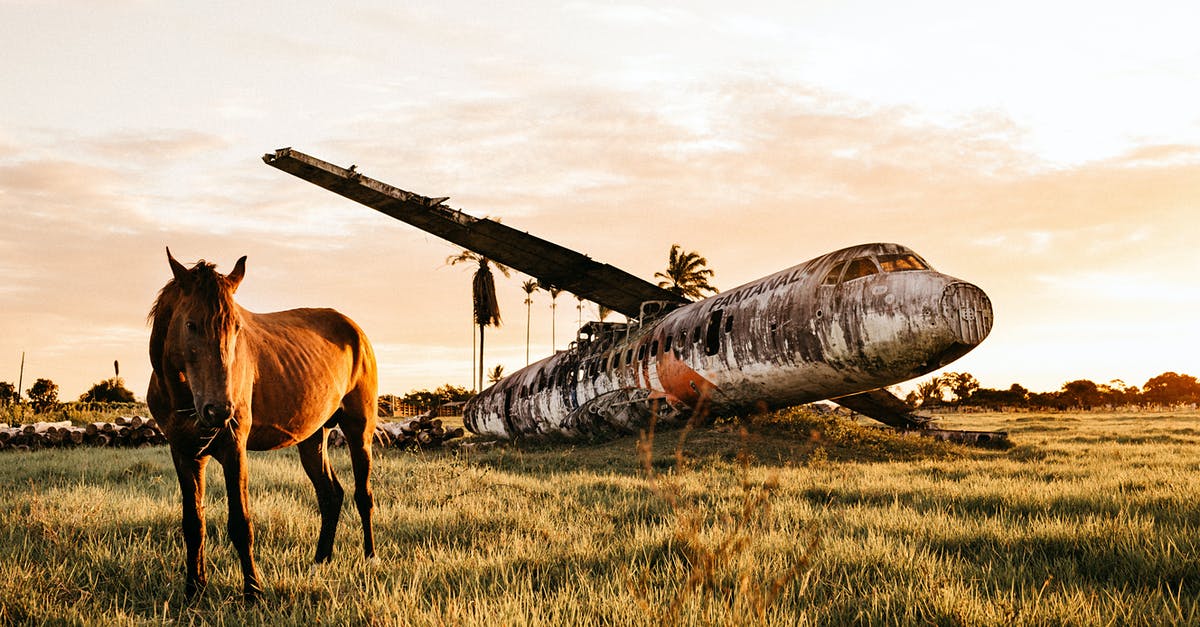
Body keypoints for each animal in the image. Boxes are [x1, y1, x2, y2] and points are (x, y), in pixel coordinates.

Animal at [148, 248, 376, 600]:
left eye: (237, 327)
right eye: (190, 324)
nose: (219, 411)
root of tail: (355, 331)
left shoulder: (234, 448)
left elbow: (241, 523)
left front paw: (253, 592)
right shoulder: (185, 453)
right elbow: (193, 524)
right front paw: (194, 590)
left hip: (359, 430)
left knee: (363, 494)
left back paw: (370, 559)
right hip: (313, 437)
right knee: (330, 494)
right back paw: (320, 561)